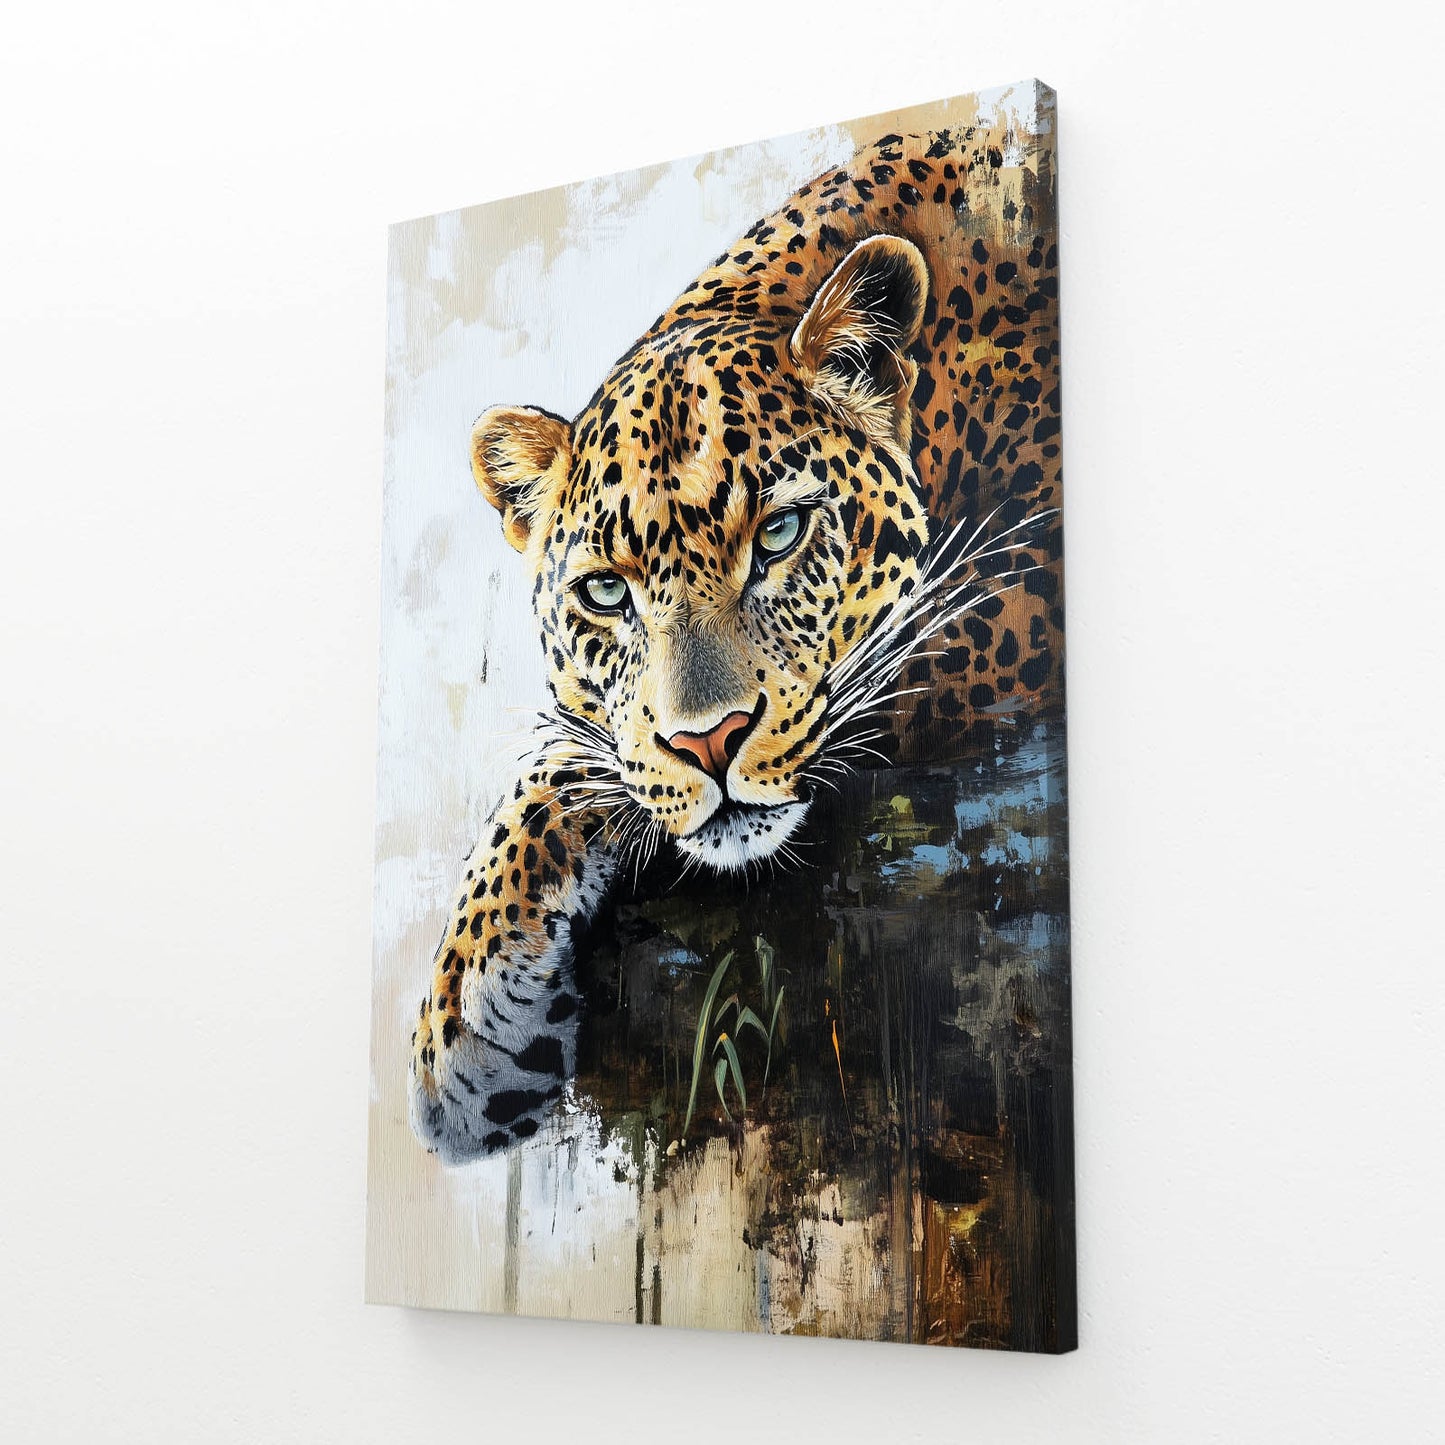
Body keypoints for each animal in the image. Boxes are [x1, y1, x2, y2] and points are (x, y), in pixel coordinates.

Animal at [409, 120, 1065, 1163]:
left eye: (780, 534)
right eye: (605, 591)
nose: (708, 742)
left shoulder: (1020, 583)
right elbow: (579, 758)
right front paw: (462, 1016)